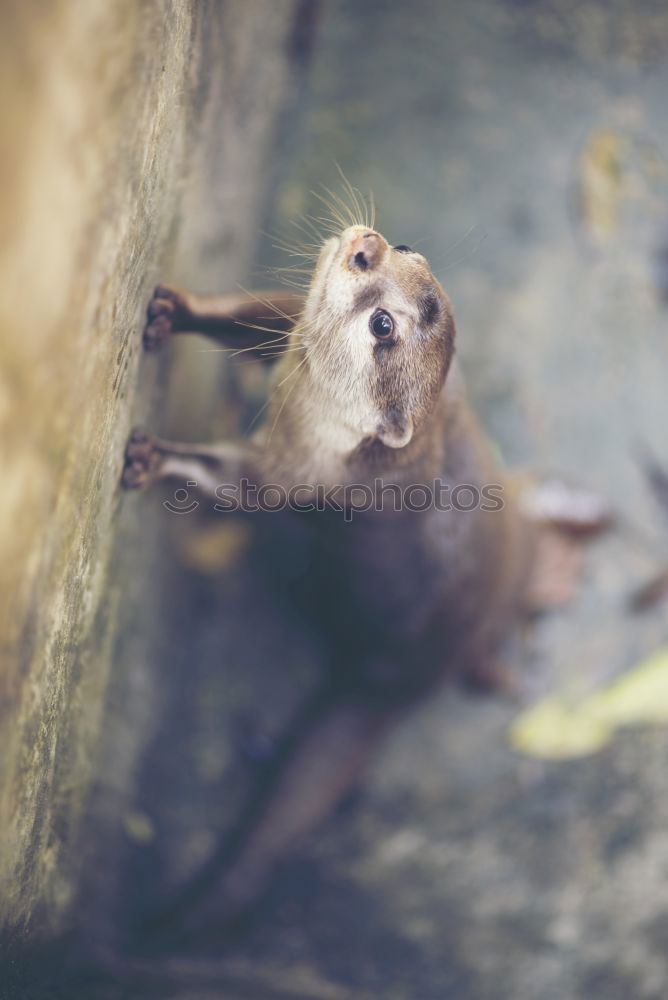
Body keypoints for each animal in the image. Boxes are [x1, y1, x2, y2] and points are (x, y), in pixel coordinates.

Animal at [121, 215, 604, 940]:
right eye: (401, 250)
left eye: (383, 326)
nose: (366, 245)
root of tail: (424, 668)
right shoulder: (290, 336)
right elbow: (253, 314)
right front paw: (177, 311)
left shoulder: (295, 474)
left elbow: (232, 481)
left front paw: (157, 457)